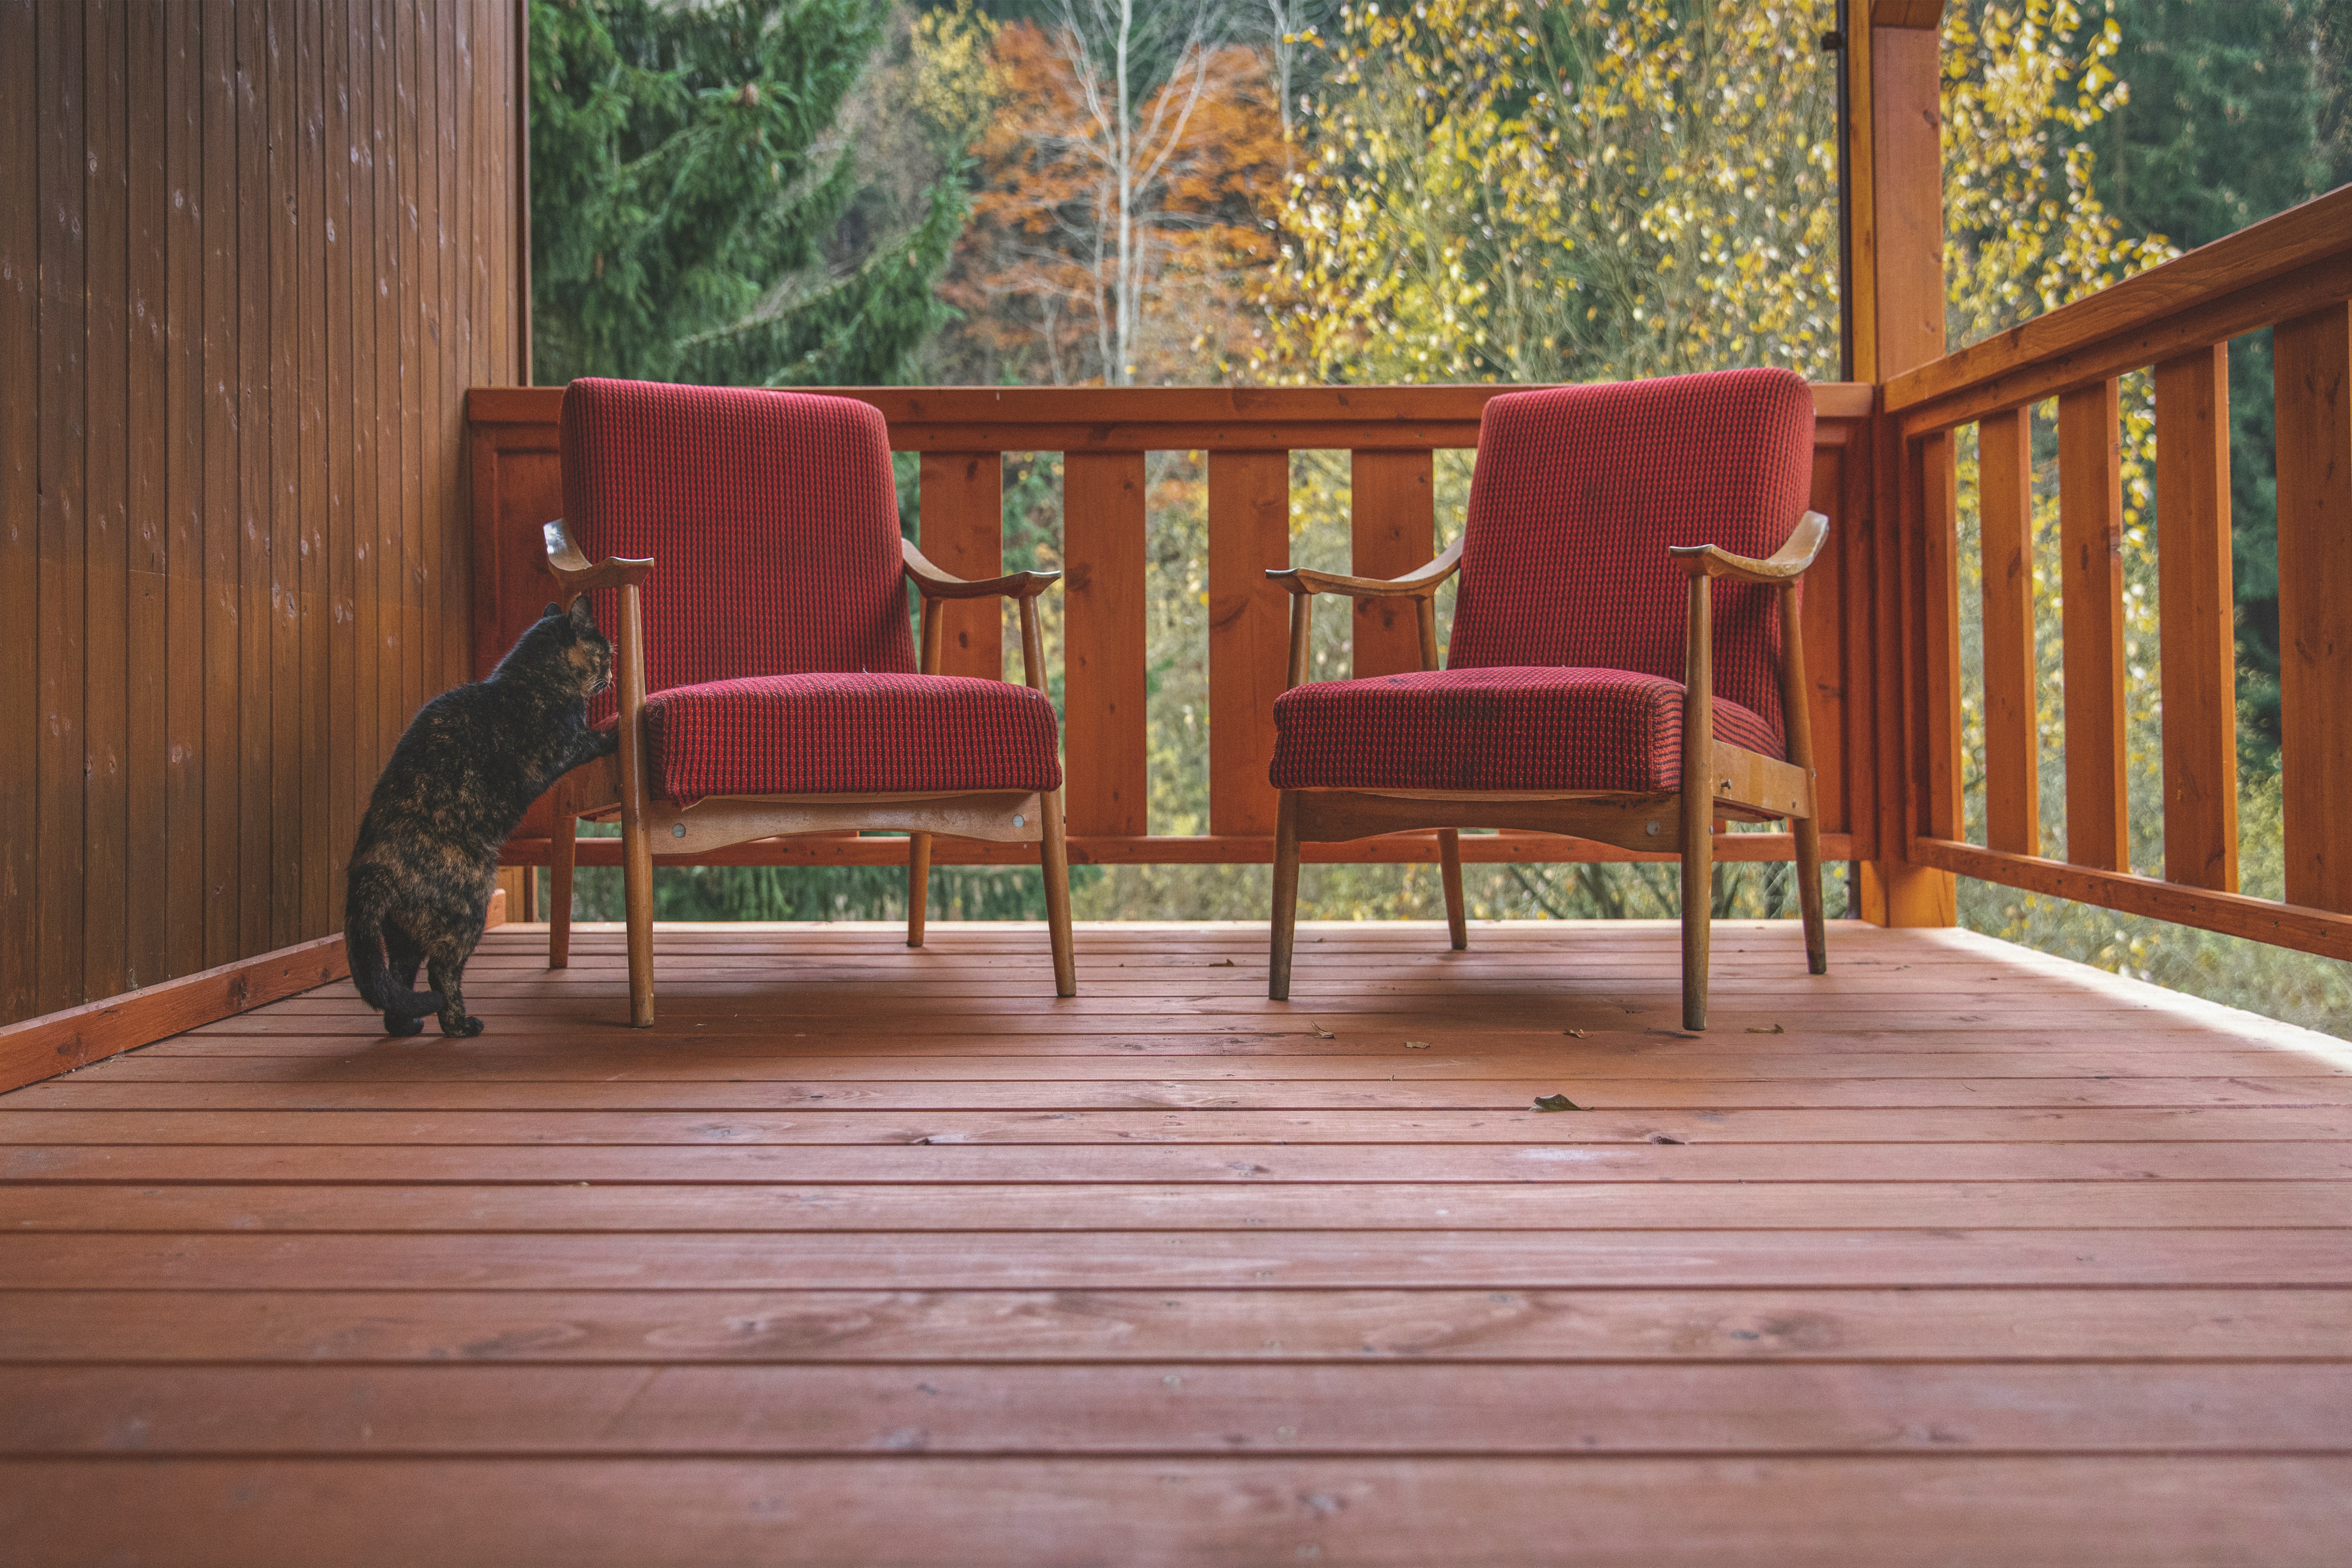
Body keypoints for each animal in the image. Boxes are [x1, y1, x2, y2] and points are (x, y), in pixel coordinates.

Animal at [343, 595, 616, 1034]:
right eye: (606, 652)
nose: (612, 673)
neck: (527, 680)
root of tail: (369, 869)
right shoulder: (569, 744)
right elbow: (599, 737)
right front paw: (621, 728)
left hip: (402, 936)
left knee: (398, 982)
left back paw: (408, 1025)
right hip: (471, 903)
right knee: (441, 972)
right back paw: (461, 1025)